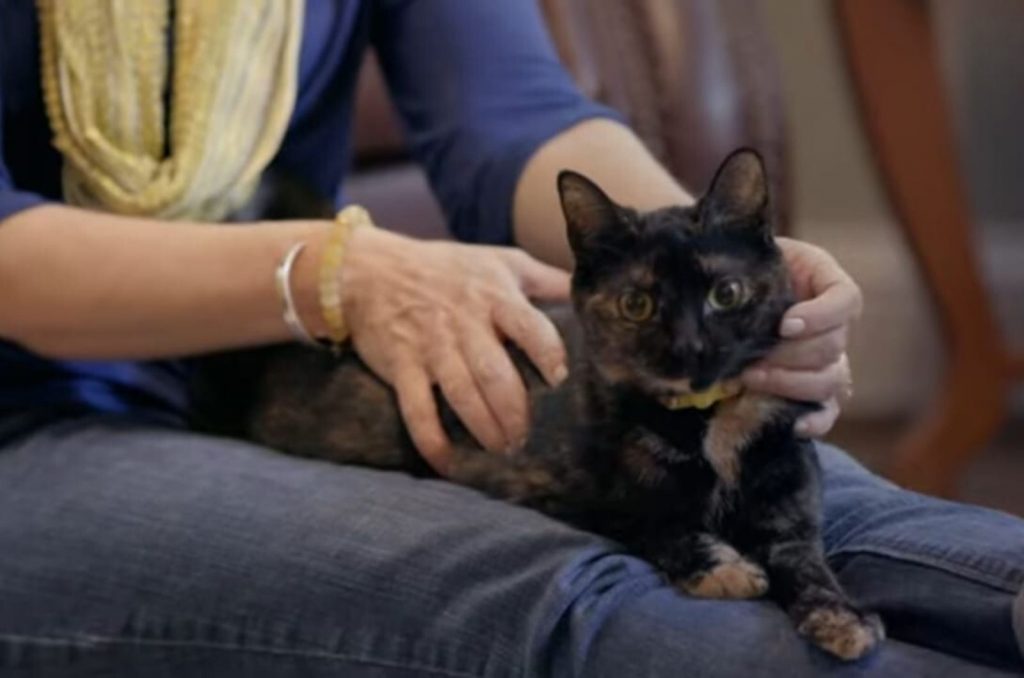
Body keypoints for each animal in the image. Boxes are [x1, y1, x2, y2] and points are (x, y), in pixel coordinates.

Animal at [195, 150, 884, 663]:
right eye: (637, 304)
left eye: (726, 293)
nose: (689, 347)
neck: (703, 421)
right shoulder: (556, 490)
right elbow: (651, 521)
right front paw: (721, 566)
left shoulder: (789, 502)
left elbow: (807, 562)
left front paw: (841, 616)